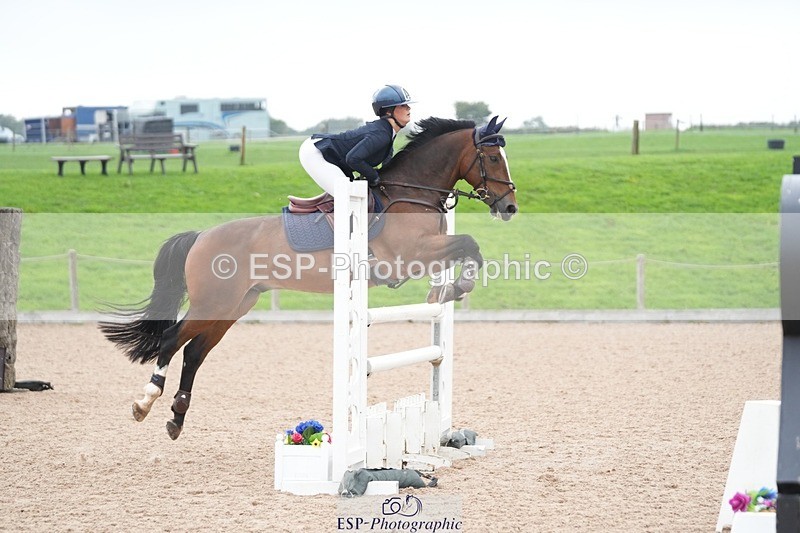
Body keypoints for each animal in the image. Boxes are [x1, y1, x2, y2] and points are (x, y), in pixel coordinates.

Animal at [100, 115, 518, 440]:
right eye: (492, 157)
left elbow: (468, 248)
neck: (410, 192)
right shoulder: (409, 256)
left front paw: (448, 290)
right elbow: (469, 243)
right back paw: (144, 402)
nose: (510, 207)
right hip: (212, 302)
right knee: (172, 339)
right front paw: (458, 286)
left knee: (194, 352)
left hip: (234, 305)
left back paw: (176, 417)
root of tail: (201, 236)